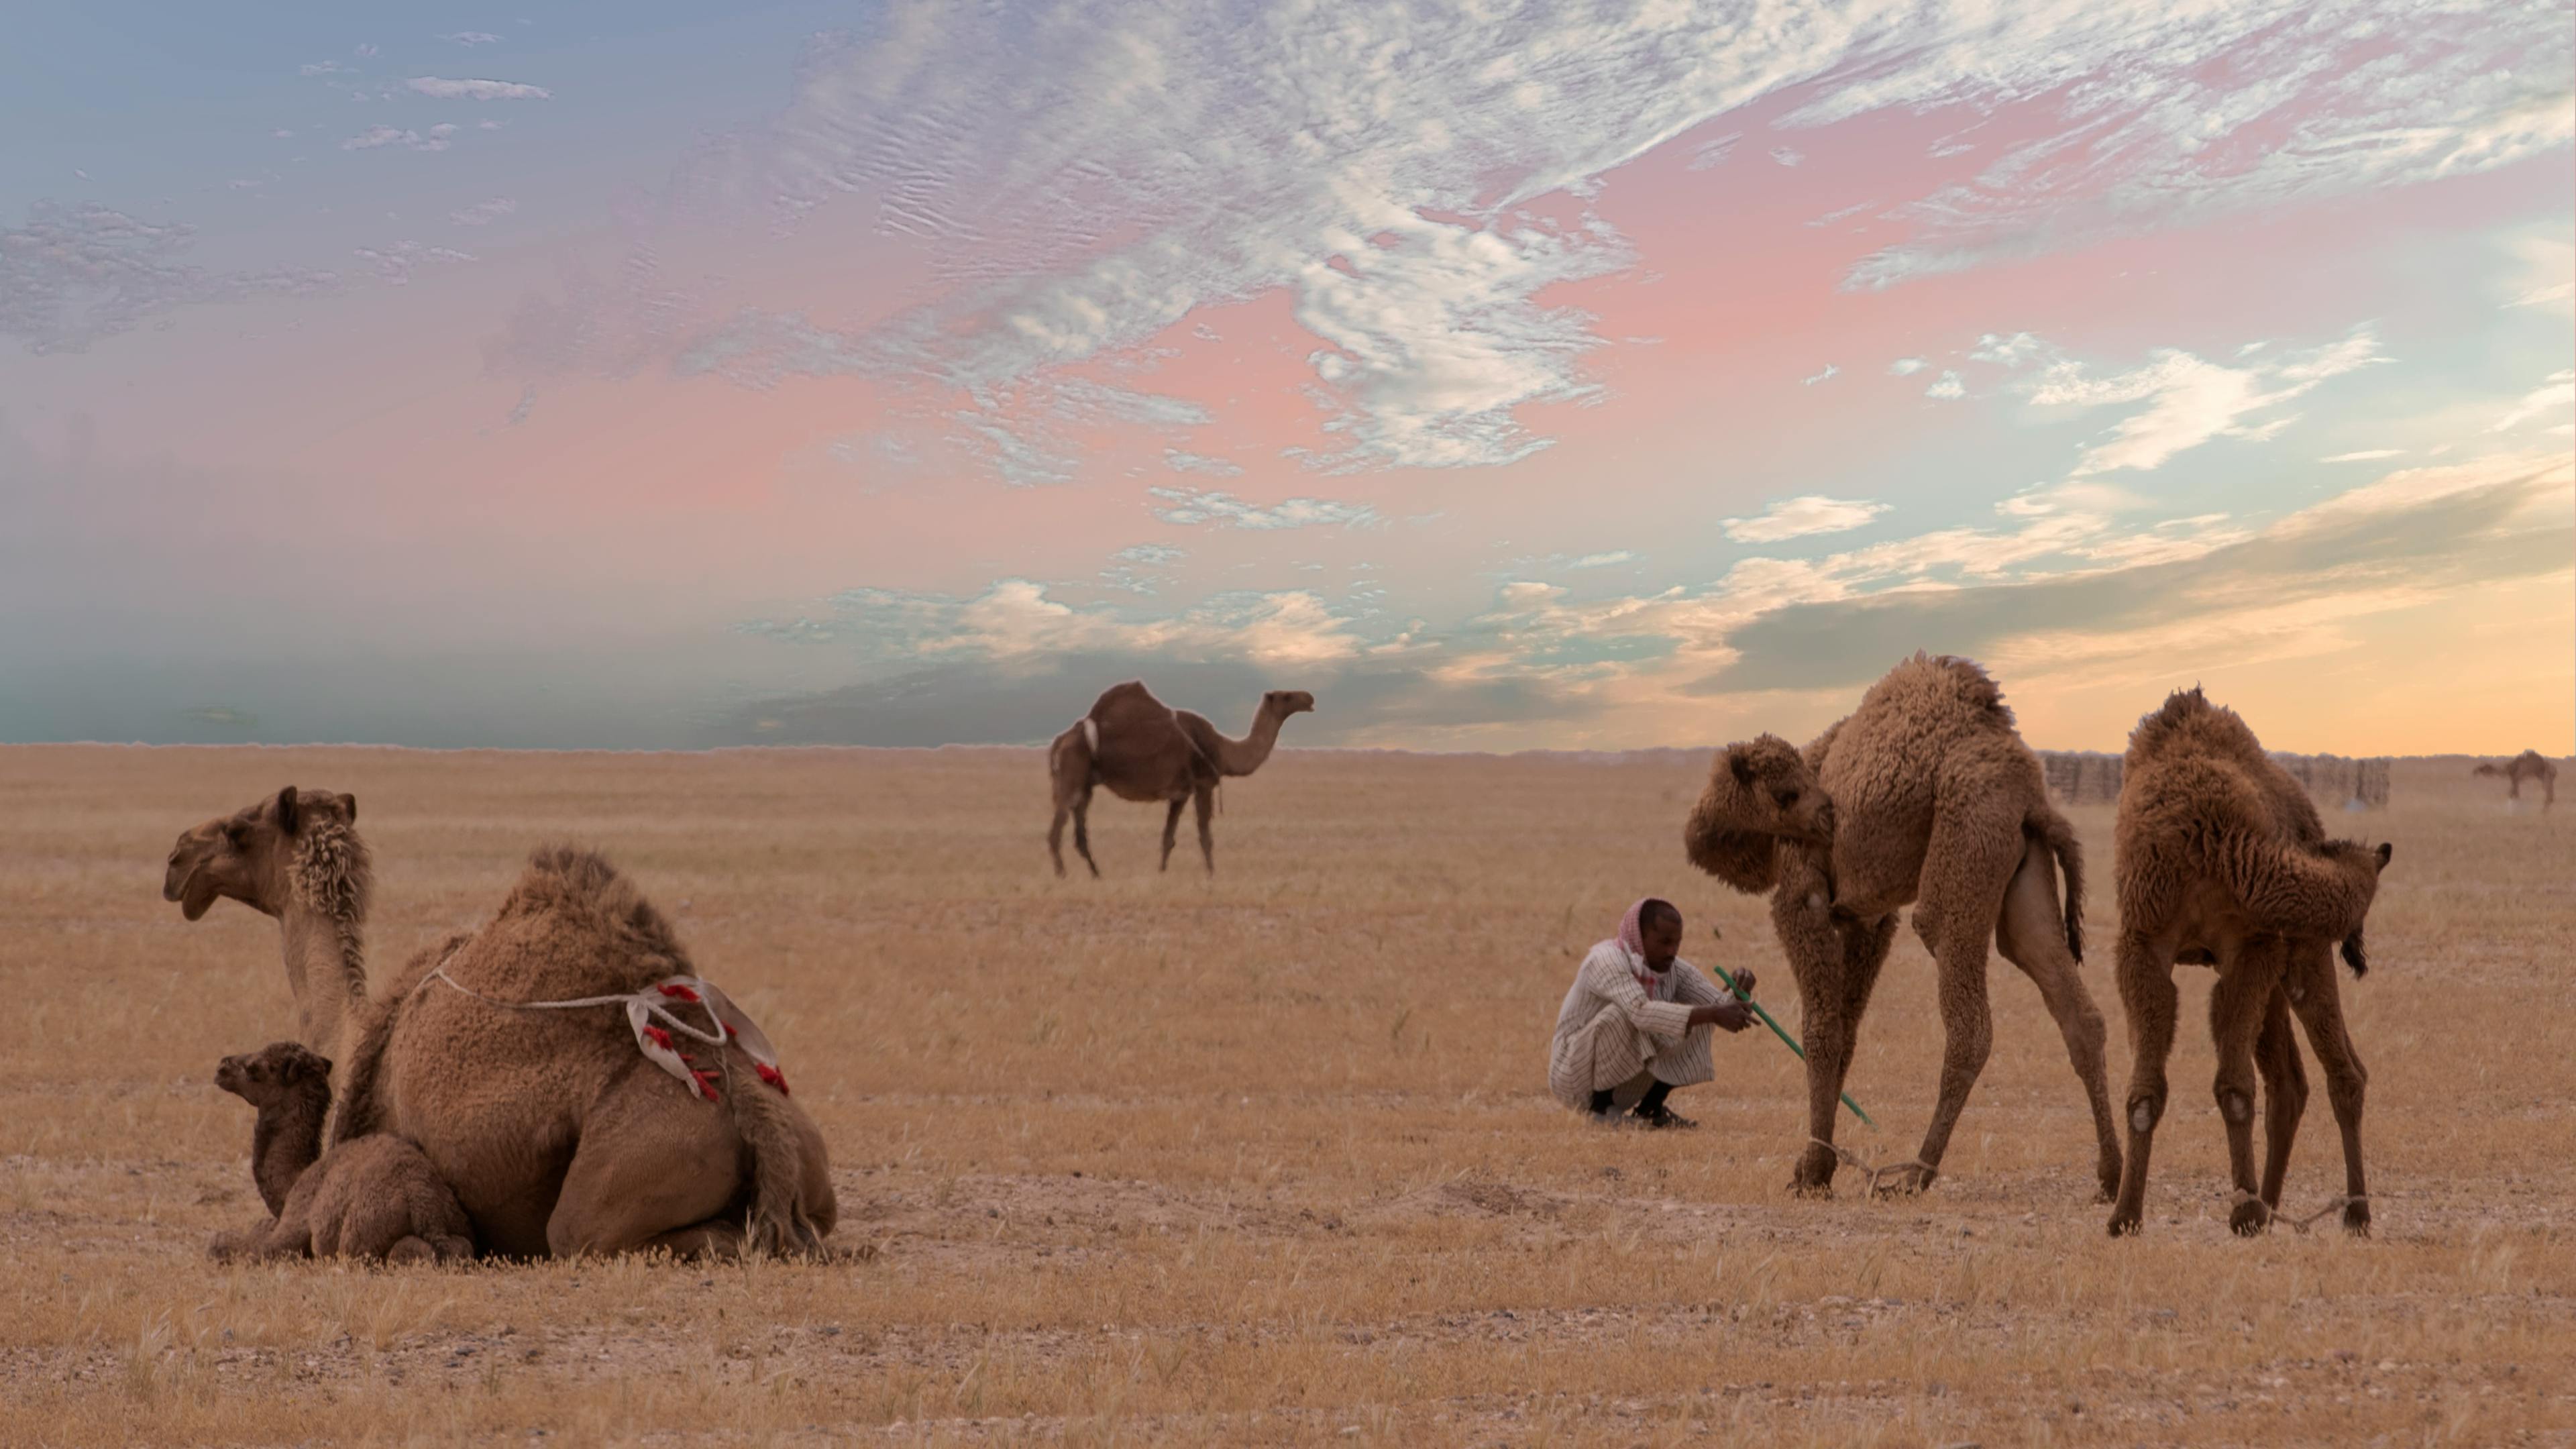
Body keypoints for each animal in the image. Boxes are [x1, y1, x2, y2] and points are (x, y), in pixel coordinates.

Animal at [211, 1036, 479, 1263]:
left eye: (254, 1069)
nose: (222, 1068)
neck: (297, 1179)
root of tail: (426, 1210)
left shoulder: (293, 1224)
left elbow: (241, 1248)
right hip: (458, 1235)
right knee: (459, 1247)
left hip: (357, 1244)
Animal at [1040, 680, 1319, 876]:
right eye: (1286, 696)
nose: (1309, 697)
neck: (1223, 749)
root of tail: (1061, 740)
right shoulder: (1203, 784)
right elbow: (1205, 836)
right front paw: (1212, 875)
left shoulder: (1180, 794)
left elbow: (1168, 838)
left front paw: (1162, 873)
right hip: (1072, 772)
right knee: (1056, 829)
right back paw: (1062, 875)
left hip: (1086, 783)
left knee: (1080, 831)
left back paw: (1097, 874)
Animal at [1679, 652, 2123, 1196]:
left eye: (1789, 793)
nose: (1829, 819)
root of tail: (2032, 798)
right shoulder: (1866, 918)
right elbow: (1847, 1032)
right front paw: (1818, 1165)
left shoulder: (1802, 897)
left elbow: (1821, 1033)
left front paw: (1812, 1171)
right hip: (2024, 875)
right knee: (2075, 1007)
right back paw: (2111, 1174)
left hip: (1966, 844)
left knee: (1967, 1019)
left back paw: (1916, 1173)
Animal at [2112, 696, 2390, 1237]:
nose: (2357, 945)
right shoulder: (2143, 941)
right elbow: (2145, 1091)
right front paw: (2123, 1216)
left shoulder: (2249, 946)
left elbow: (2234, 1088)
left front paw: (2241, 1213)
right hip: (2285, 970)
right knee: (2293, 1084)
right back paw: (2273, 1204)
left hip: (2299, 958)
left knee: (2344, 1075)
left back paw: (2353, 1213)